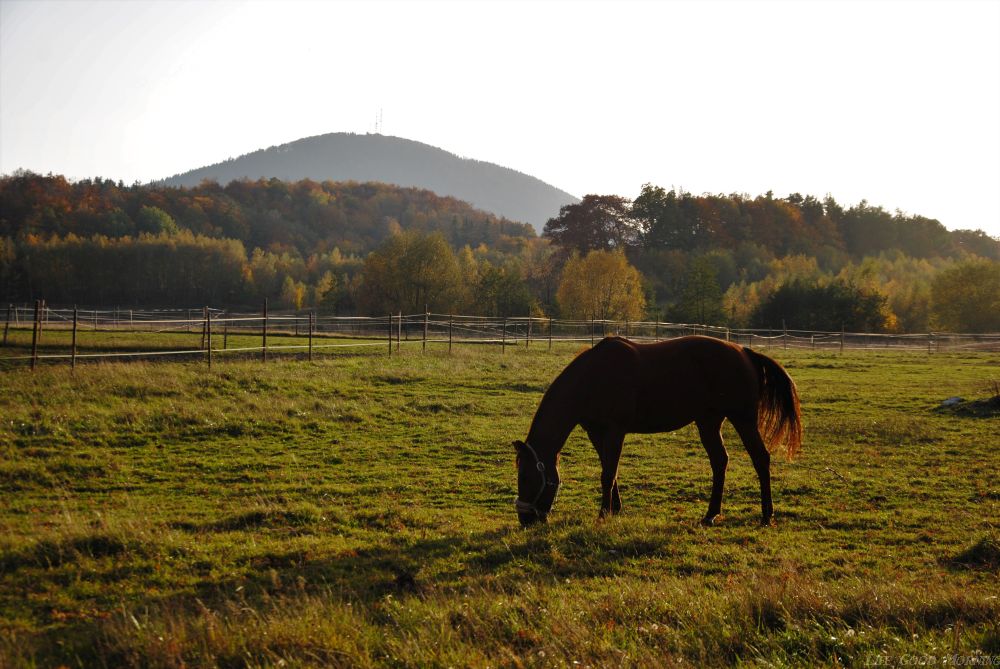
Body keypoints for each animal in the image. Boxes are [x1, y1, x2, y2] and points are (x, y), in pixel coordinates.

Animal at [516, 340, 804, 528]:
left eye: (527, 476)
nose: (525, 519)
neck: (592, 378)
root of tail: (744, 352)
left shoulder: (615, 431)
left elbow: (607, 473)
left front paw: (603, 514)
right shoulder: (597, 433)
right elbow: (610, 471)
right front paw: (614, 509)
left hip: (742, 419)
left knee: (760, 458)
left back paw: (766, 515)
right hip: (709, 422)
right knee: (720, 462)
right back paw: (711, 514)